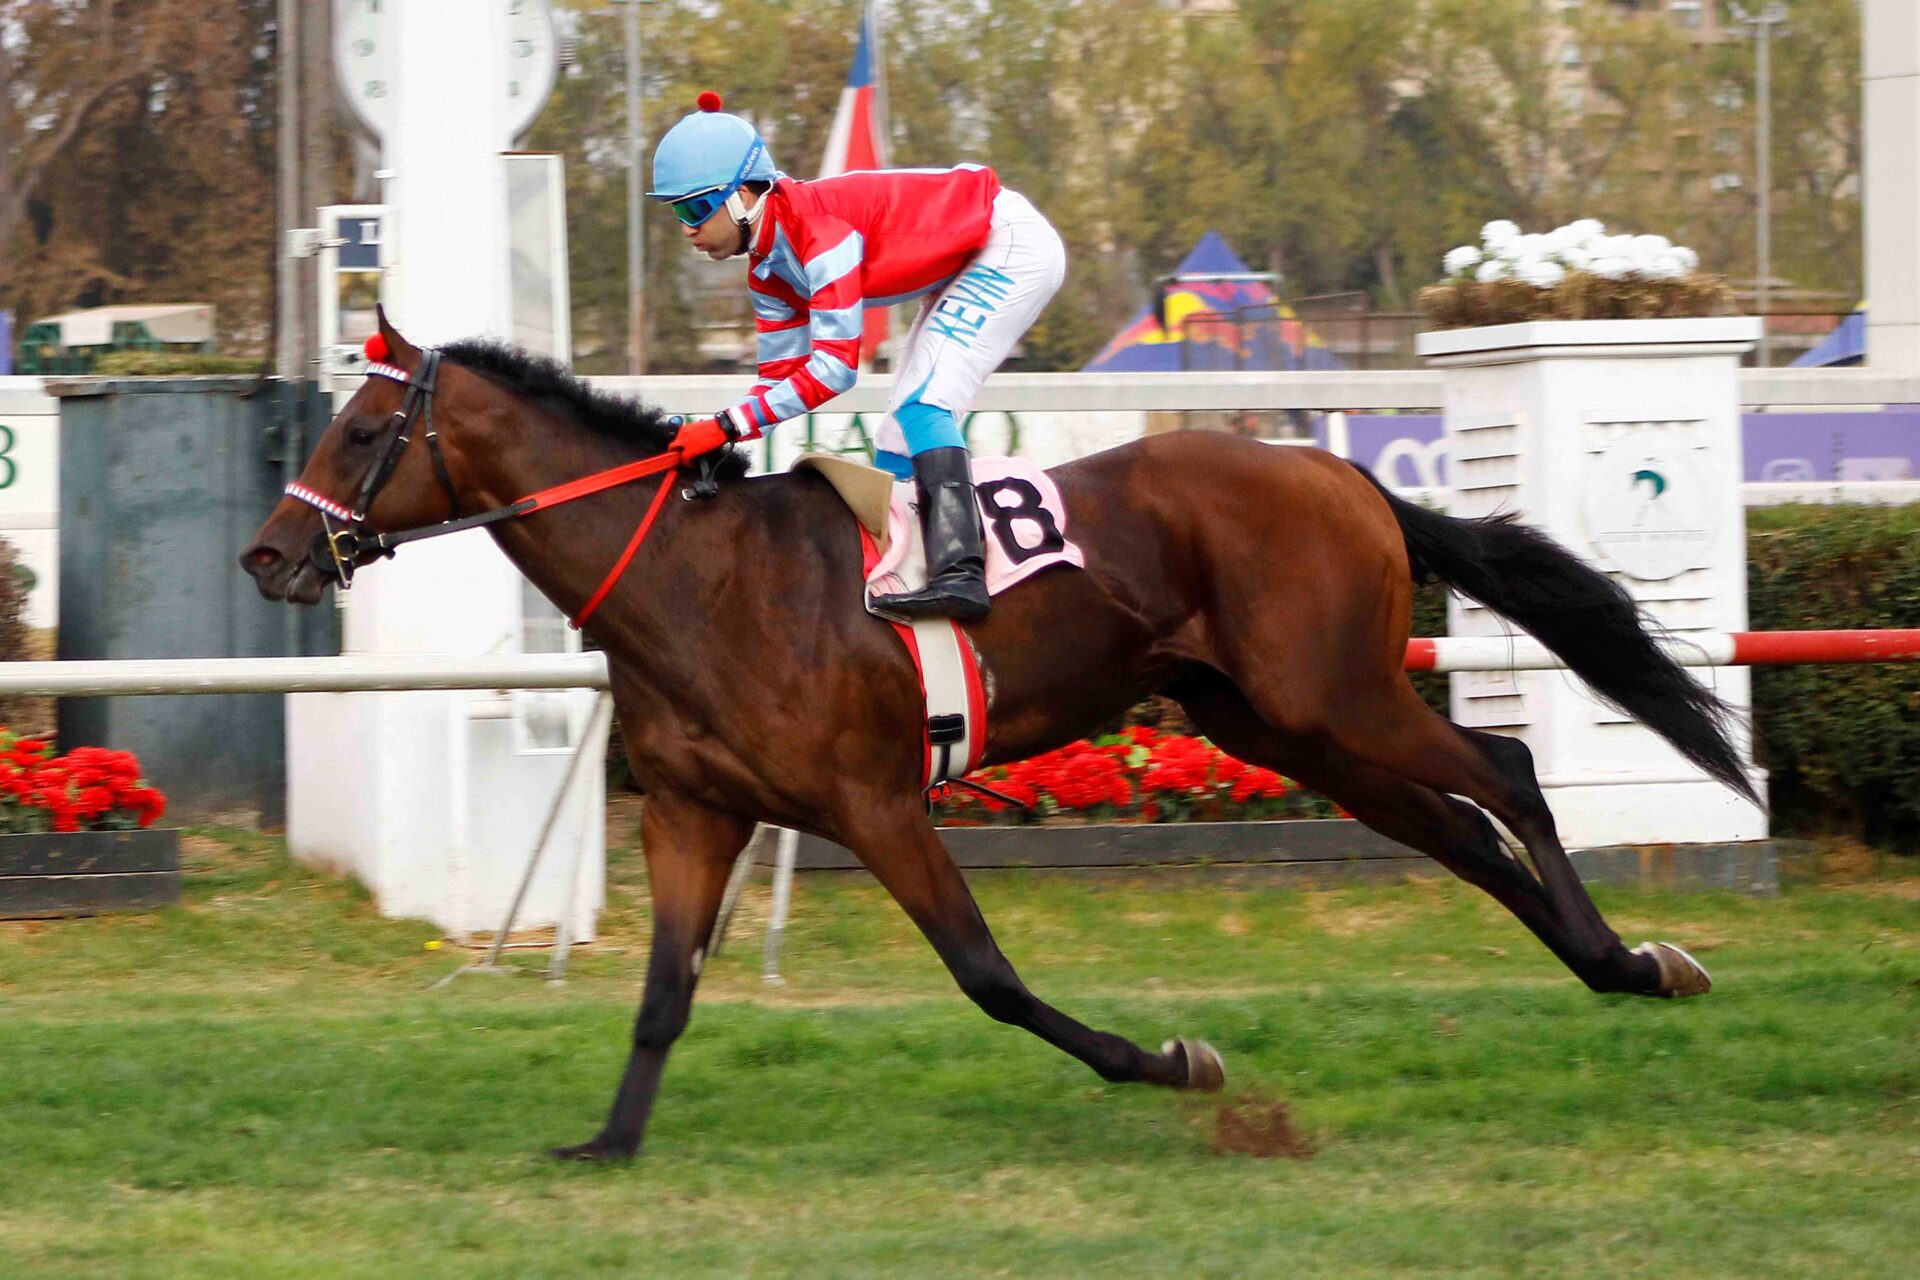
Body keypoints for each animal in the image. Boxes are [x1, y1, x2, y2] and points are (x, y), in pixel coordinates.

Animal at [241, 314, 1753, 1162]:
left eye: (364, 426)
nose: (268, 554)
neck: (693, 578)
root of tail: (1340, 471)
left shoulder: (876, 802)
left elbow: (987, 975)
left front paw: (1172, 1062)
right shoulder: (693, 810)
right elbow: (664, 992)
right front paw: (606, 1144)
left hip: (1337, 693)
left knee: (1507, 774)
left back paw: (1628, 957)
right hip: (1284, 723)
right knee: (1458, 836)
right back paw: (1623, 966)